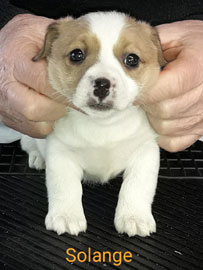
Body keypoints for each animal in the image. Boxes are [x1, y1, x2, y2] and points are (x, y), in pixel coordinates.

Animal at [20, 11, 166, 236]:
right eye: (76, 55)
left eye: (131, 59)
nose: (102, 84)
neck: (103, 126)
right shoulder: (61, 154)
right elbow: (65, 186)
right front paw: (66, 215)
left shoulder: (145, 152)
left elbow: (136, 186)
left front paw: (134, 216)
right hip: (29, 135)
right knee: (29, 146)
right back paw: (37, 158)